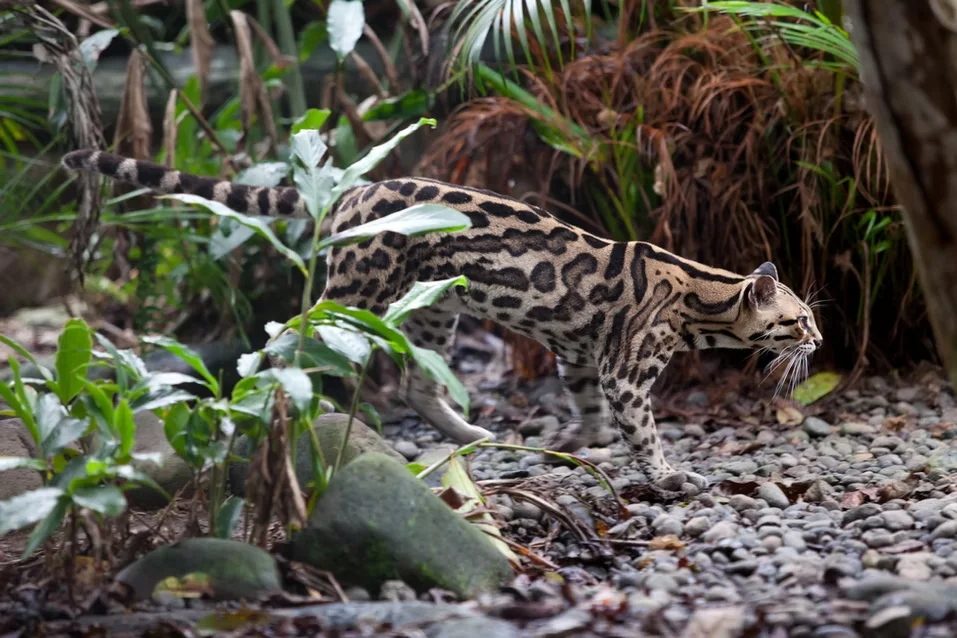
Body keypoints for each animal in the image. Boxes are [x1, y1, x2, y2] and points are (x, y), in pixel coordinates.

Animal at [63, 151, 820, 496]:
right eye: (797, 321)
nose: (818, 340)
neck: (701, 294)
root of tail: (353, 189)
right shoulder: (624, 369)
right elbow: (642, 427)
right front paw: (663, 473)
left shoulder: (579, 355)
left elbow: (587, 411)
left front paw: (580, 444)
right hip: (358, 291)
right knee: (294, 326)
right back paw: (276, 382)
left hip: (431, 311)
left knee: (418, 384)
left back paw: (472, 436)